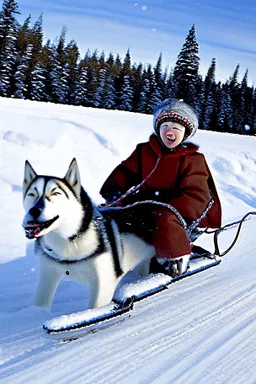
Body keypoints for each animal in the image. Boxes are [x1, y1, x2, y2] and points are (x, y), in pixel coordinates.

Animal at [22, 158, 154, 308]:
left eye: (56, 193)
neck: (70, 241)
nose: (34, 210)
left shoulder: (104, 283)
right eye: (32, 194)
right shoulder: (48, 272)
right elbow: (40, 303)